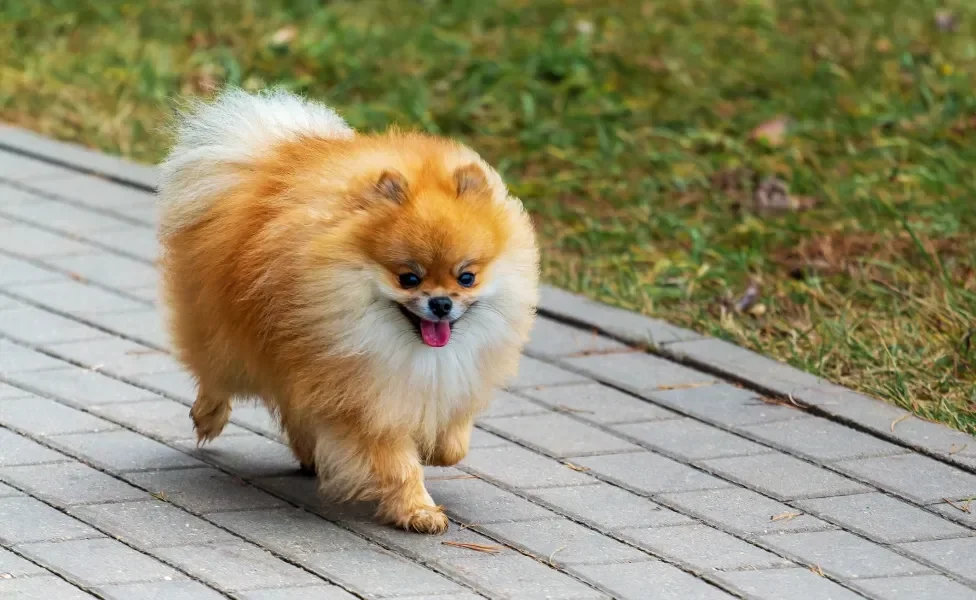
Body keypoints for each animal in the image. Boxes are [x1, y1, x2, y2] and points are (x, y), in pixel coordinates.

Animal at [161, 88, 540, 528]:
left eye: (466, 277)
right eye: (408, 278)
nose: (441, 304)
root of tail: (265, 158)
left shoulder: (450, 378)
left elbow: (453, 441)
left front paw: (435, 449)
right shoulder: (363, 397)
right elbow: (396, 462)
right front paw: (418, 510)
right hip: (228, 338)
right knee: (216, 375)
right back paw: (209, 416)